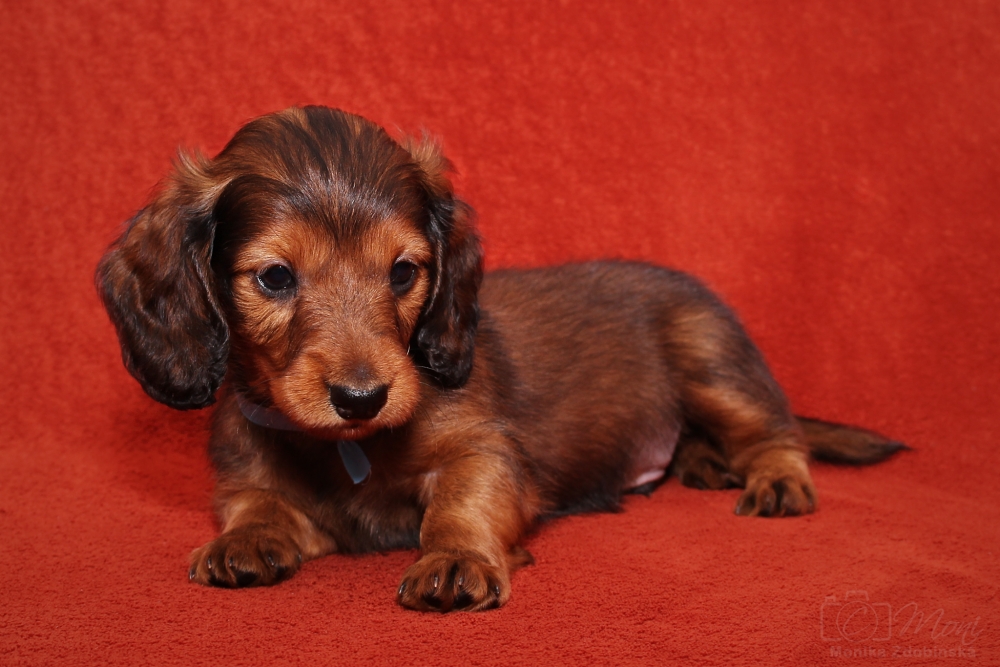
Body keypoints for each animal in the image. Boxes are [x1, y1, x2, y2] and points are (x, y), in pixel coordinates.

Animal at [97, 106, 906, 612]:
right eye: (274, 278)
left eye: (404, 272)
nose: (362, 398)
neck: (347, 447)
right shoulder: (251, 471)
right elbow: (257, 503)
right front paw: (244, 540)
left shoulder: (486, 450)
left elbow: (462, 501)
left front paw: (456, 558)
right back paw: (704, 465)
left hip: (711, 362)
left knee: (776, 433)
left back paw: (771, 478)